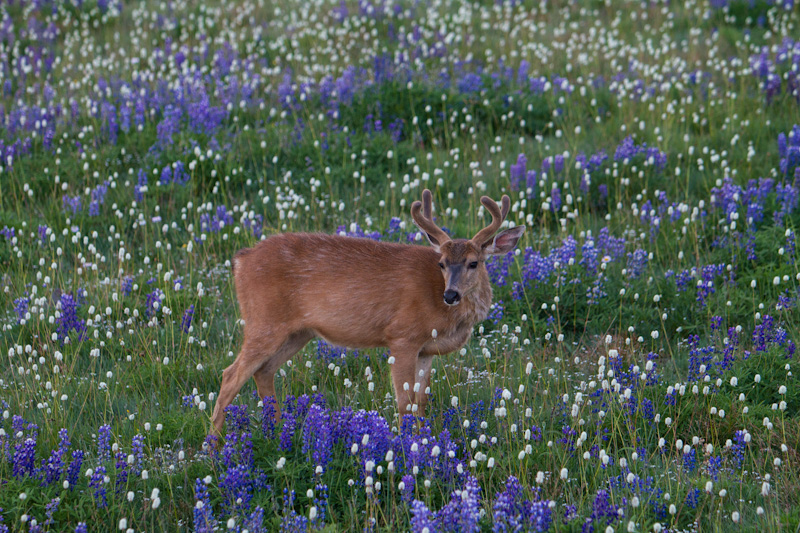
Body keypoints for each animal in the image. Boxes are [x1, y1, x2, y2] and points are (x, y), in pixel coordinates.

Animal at [211, 189, 524, 434]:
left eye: (473, 262)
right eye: (442, 263)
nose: (451, 295)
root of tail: (241, 260)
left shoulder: (426, 350)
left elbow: (421, 402)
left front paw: (424, 443)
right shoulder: (402, 336)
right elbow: (405, 403)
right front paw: (407, 446)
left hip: (297, 332)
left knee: (264, 371)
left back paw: (276, 433)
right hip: (263, 320)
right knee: (230, 376)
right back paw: (214, 448)